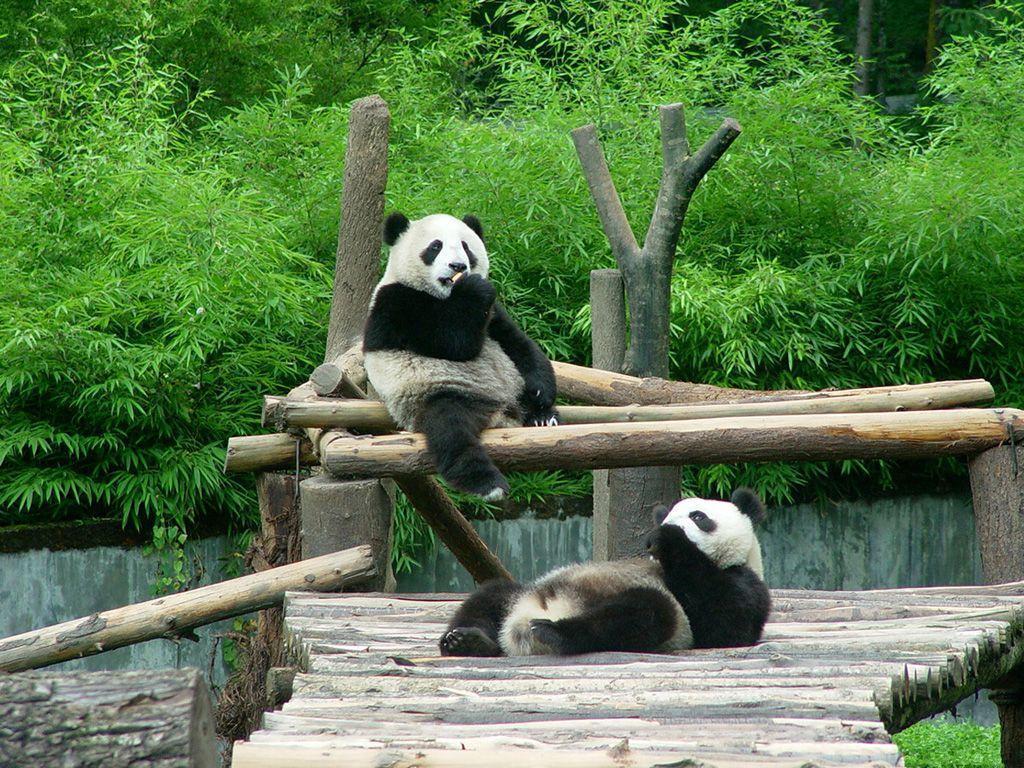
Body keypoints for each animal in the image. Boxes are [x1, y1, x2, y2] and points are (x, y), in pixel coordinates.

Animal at [364, 210, 561, 501]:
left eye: (466, 247)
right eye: (435, 247)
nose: (458, 266)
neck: (446, 295)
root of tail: (502, 414)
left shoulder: (494, 314)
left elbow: (519, 344)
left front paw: (541, 391)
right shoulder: (397, 305)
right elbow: (454, 341)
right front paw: (473, 288)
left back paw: (543, 418)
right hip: (440, 395)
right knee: (452, 433)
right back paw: (487, 484)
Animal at [438, 489, 770, 659]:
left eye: (698, 517)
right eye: (668, 515)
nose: (664, 528)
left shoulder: (741, 581)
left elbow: (724, 623)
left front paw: (670, 540)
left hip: (662, 617)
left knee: (644, 612)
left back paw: (554, 632)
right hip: (523, 591)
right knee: (491, 595)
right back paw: (467, 640)